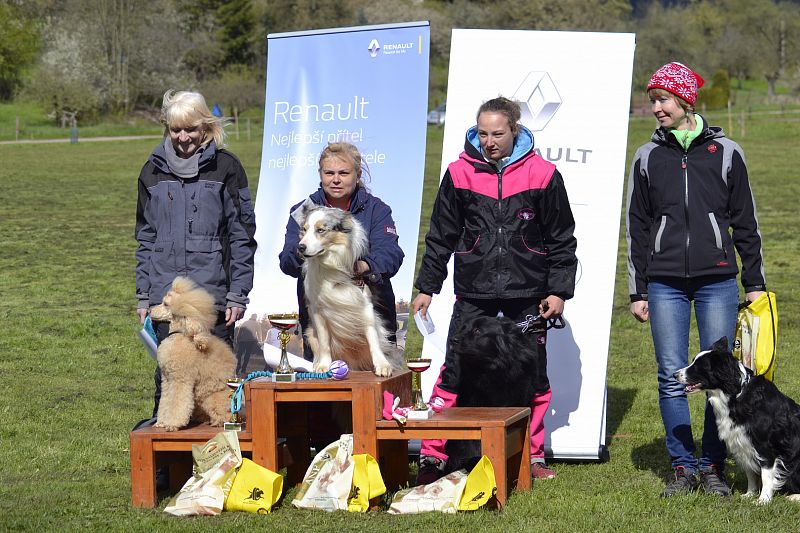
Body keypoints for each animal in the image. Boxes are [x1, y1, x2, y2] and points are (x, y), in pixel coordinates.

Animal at [296, 202, 404, 376]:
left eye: (321, 230)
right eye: (304, 230)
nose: (300, 247)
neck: (332, 264)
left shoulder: (365, 305)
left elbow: (373, 338)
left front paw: (382, 365)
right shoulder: (317, 310)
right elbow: (324, 342)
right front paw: (323, 365)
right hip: (310, 332)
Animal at [676, 336, 800, 502]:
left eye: (697, 367)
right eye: (692, 362)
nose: (674, 375)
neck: (736, 395)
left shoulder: (766, 446)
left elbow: (766, 475)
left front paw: (763, 500)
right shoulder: (741, 442)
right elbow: (751, 473)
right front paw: (749, 494)